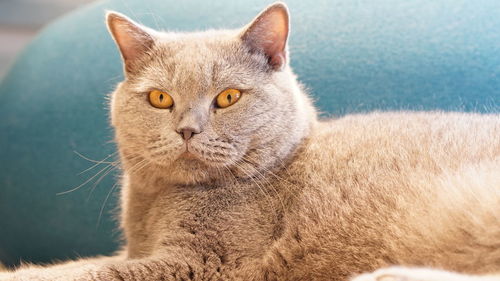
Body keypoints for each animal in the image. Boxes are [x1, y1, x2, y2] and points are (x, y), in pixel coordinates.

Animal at [0, 2, 500, 280]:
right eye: (161, 98)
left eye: (227, 97)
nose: (187, 129)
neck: (155, 206)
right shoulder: (137, 251)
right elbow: (78, 264)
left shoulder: (205, 263)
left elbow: (89, 272)